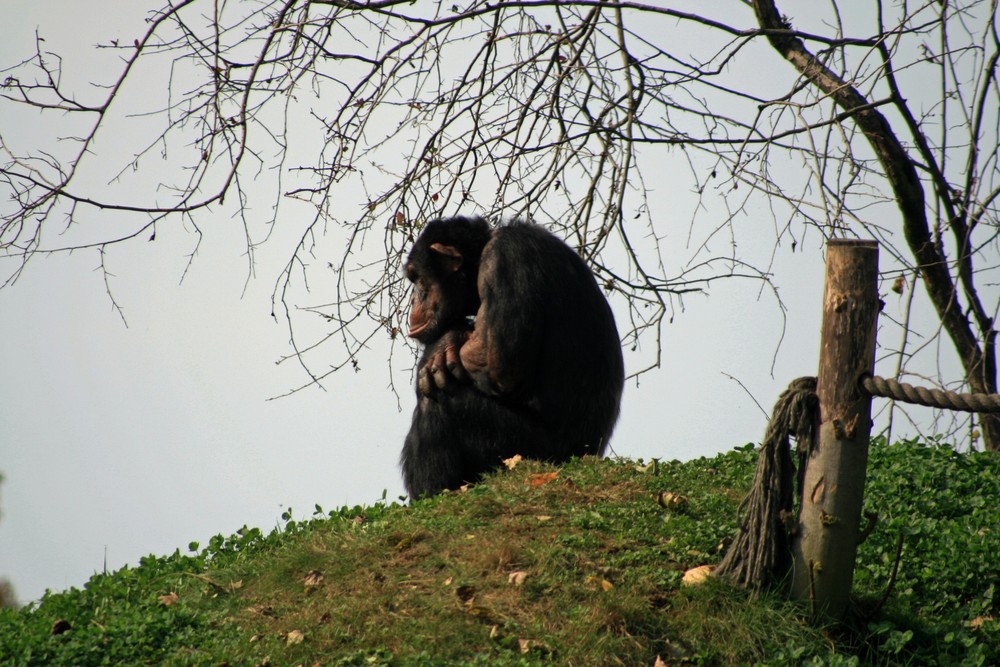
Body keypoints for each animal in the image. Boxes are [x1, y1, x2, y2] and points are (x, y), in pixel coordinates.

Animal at [400, 217, 620, 498]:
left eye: (417, 277)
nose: (413, 298)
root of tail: (588, 455)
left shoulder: (503, 259)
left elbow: (495, 360)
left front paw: (444, 343)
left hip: (530, 453)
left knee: (440, 401)